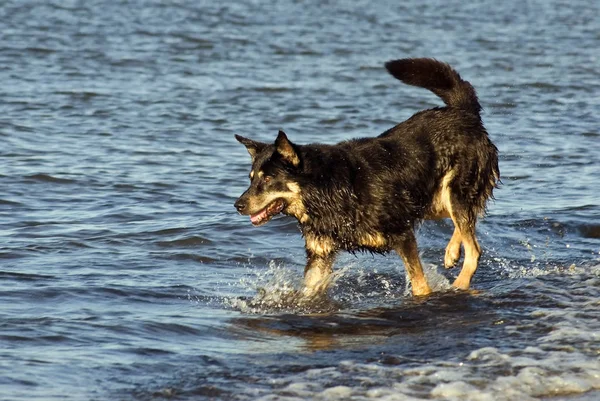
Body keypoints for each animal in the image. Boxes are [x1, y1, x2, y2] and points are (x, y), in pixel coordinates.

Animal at [232, 57, 500, 296]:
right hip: (430, 199)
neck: (324, 189)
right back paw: (452, 252)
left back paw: (460, 283)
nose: (237, 205)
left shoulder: (403, 235)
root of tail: (462, 112)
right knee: (466, 222)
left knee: (474, 247)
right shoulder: (320, 255)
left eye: (267, 179)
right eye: (251, 178)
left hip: (454, 191)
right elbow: (306, 293)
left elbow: (420, 286)